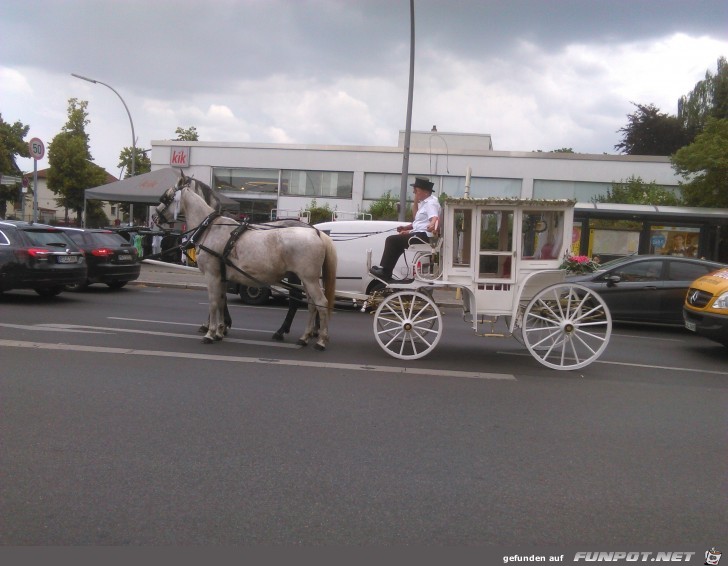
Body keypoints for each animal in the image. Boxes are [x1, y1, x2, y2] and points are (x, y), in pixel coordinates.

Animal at [155, 175, 336, 350]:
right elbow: (221, 300)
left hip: (308, 279)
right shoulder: (222, 277)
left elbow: (213, 302)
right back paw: (304, 337)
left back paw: (320, 340)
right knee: (311, 305)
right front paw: (220, 330)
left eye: (166, 197)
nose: (155, 217)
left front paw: (210, 332)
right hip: (305, 280)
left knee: (320, 303)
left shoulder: (212, 275)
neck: (211, 228)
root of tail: (316, 232)